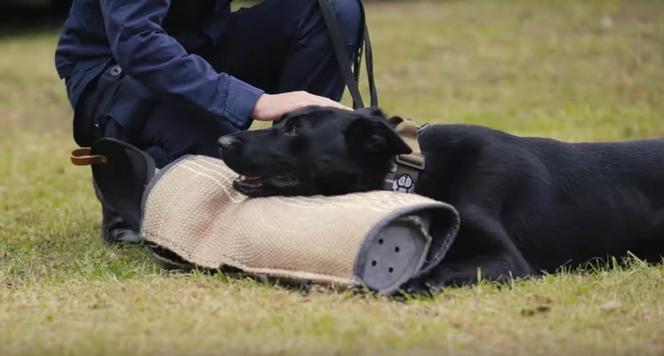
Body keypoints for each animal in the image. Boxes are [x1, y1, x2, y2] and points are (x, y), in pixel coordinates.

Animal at [219, 105, 664, 290]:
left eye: (295, 130)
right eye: (279, 121)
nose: (223, 141)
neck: (407, 173)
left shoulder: (507, 260)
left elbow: (436, 269)